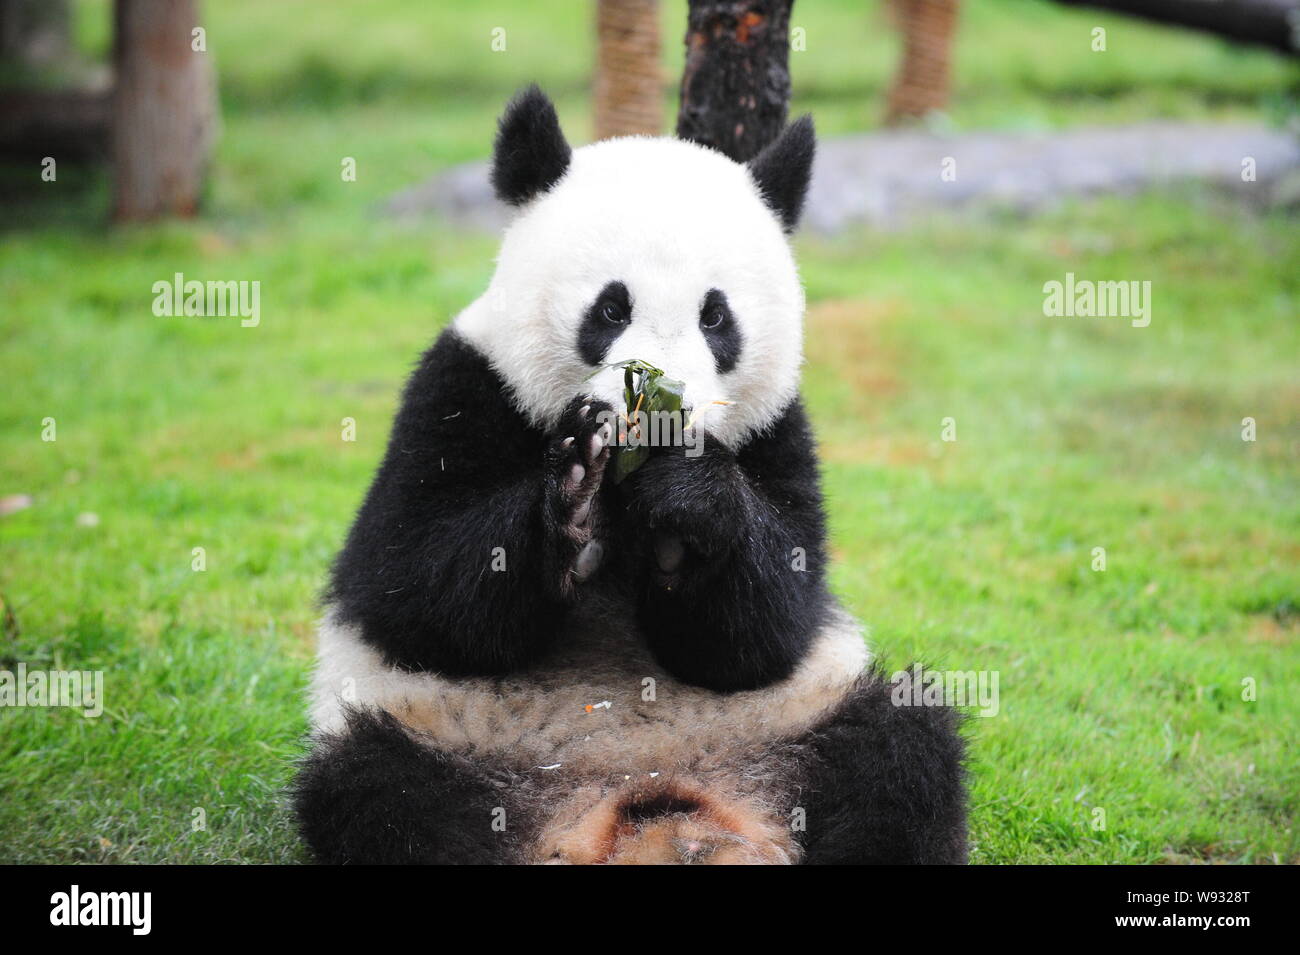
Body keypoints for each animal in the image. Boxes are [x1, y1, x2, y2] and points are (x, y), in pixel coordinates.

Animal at [295, 85, 967, 867]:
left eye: (717, 317)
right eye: (611, 308)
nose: (661, 407)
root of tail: (644, 812)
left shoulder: (777, 429)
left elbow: (767, 631)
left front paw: (684, 506)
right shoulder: (461, 384)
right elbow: (414, 590)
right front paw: (574, 497)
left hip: (797, 718)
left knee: (900, 750)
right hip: (447, 735)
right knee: (384, 791)